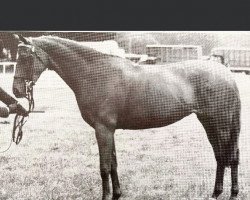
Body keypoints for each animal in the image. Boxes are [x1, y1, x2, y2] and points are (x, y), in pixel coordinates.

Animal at [11, 34, 240, 200]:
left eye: (25, 57)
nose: (16, 90)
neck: (96, 75)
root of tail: (226, 73)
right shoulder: (108, 130)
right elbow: (113, 163)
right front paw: (117, 195)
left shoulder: (103, 129)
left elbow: (104, 167)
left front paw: (105, 197)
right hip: (209, 122)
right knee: (220, 155)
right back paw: (216, 193)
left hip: (221, 124)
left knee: (231, 155)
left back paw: (232, 193)